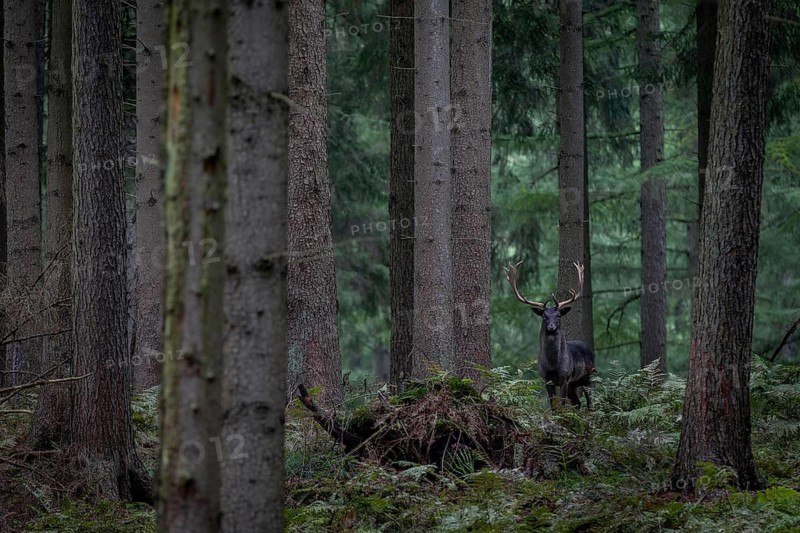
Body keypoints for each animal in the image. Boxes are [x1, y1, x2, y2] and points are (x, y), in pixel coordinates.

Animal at [505, 261, 595, 410]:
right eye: (544, 316)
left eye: (558, 315)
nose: (551, 327)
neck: (553, 365)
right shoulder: (546, 379)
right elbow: (554, 407)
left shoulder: (565, 377)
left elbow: (562, 406)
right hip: (574, 383)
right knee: (577, 403)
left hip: (589, 376)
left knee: (591, 401)